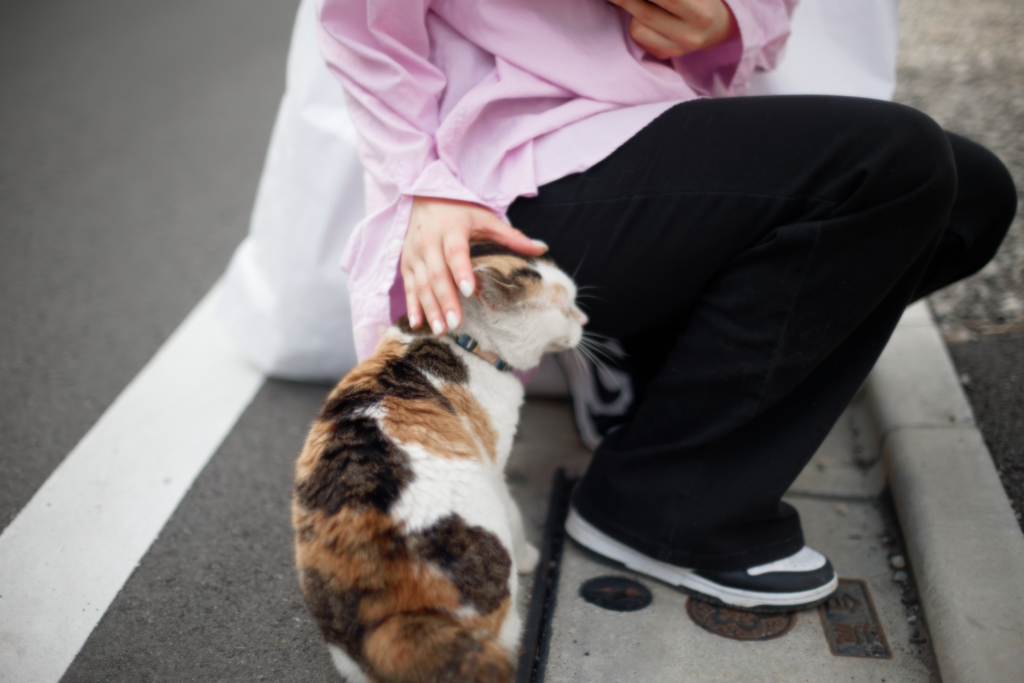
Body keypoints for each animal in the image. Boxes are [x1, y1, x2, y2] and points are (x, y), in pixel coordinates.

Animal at [292, 244, 589, 683]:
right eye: (565, 307)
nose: (584, 319)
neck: (457, 339)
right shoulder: (494, 466)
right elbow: (516, 513)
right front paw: (531, 558)